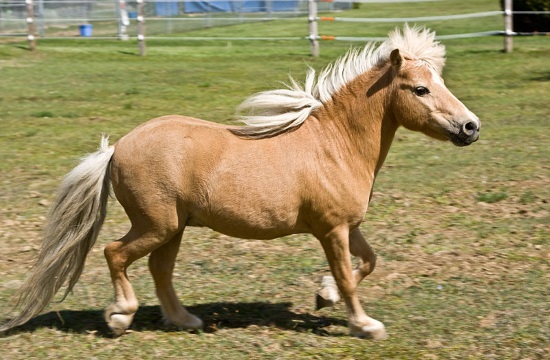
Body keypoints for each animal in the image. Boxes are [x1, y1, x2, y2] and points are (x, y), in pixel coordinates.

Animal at [1, 26, 478, 338]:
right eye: (420, 89)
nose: (471, 127)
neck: (335, 145)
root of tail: (117, 147)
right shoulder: (331, 229)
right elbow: (347, 274)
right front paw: (365, 325)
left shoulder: (347, 226)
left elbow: (368, 263)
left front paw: (323, 297)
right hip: (156, 224)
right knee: (115, 254)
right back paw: (120, 316)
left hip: (173, 227)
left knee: (159, 269)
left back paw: (186, 321)